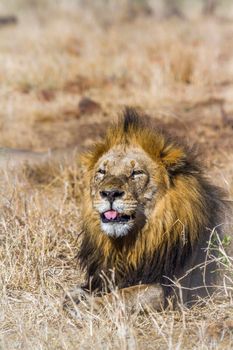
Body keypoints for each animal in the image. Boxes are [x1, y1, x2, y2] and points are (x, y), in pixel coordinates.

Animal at [63, 107, 226, 314]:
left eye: (136, 173)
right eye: (102, 172)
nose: (110, 193)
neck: (132, 241)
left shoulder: (174, 291)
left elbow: (123, 295)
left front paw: (88, 305)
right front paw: (74, 296)